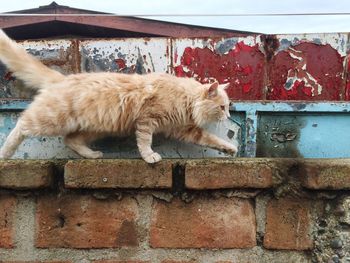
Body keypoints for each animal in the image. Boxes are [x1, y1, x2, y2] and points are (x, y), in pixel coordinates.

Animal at [0, 29, 238, 164]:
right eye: (222, 107)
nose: (228, 117)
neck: (185, 99)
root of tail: (61, 78)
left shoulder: (184, 129)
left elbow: (211, 139)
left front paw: (230, 148)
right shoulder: (147, 120)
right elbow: (145, 141)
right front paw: (149, 156)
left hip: (92, 128)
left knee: (71, 140)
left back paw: (93, 155)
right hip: (51, 120)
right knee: (21, 125)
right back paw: (5, 154)